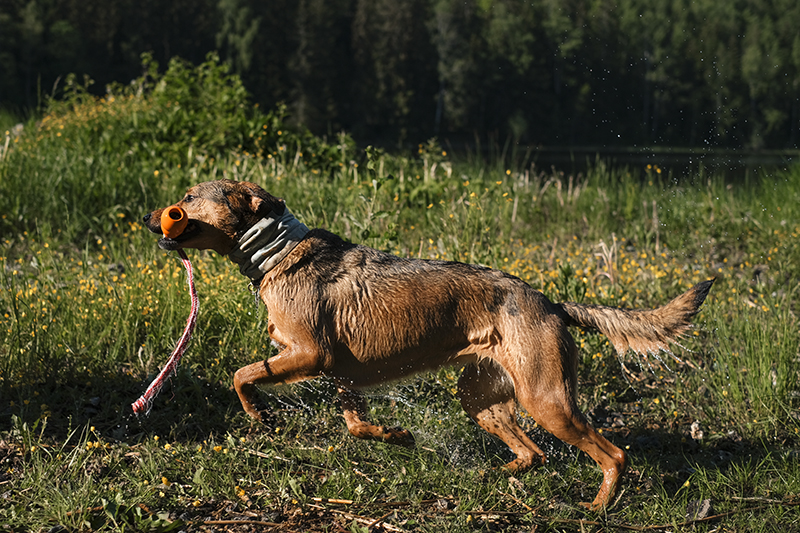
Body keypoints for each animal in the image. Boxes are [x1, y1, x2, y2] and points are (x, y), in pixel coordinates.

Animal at [142, 181, 712, 510]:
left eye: (188, 198)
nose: (149, 218)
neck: (274, 250)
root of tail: (551, 301)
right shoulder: (342, 373)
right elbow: (356, 424)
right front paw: (395, 436)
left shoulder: (310, 355)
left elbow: (242, 375)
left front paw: (258, 416)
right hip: (481, 397)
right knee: (531, 453)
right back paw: (490, 476)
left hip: (546, 399)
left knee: (613, 453)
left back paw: (597, 507)